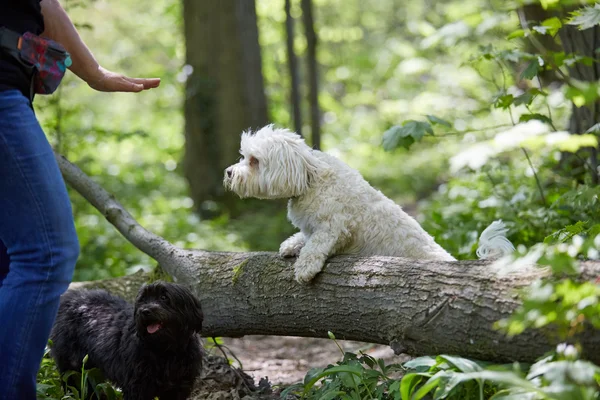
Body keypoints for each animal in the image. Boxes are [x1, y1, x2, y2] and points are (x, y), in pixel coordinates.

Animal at [49, 282, 204, 400]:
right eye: (142, 299)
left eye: (164, 297)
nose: (144, 311)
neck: (166, 351)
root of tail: (70, 297)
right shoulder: (138, 387)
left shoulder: (179, 388)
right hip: (73, 368)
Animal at [223, 125, 512, 284]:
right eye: (243, 156)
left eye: (254, 161)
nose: (228, 172)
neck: (310, 176)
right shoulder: (312, 225)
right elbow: (305, 237)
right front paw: (291, 244)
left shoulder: (336, 226)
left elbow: (317, 245)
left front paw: (305, 267)